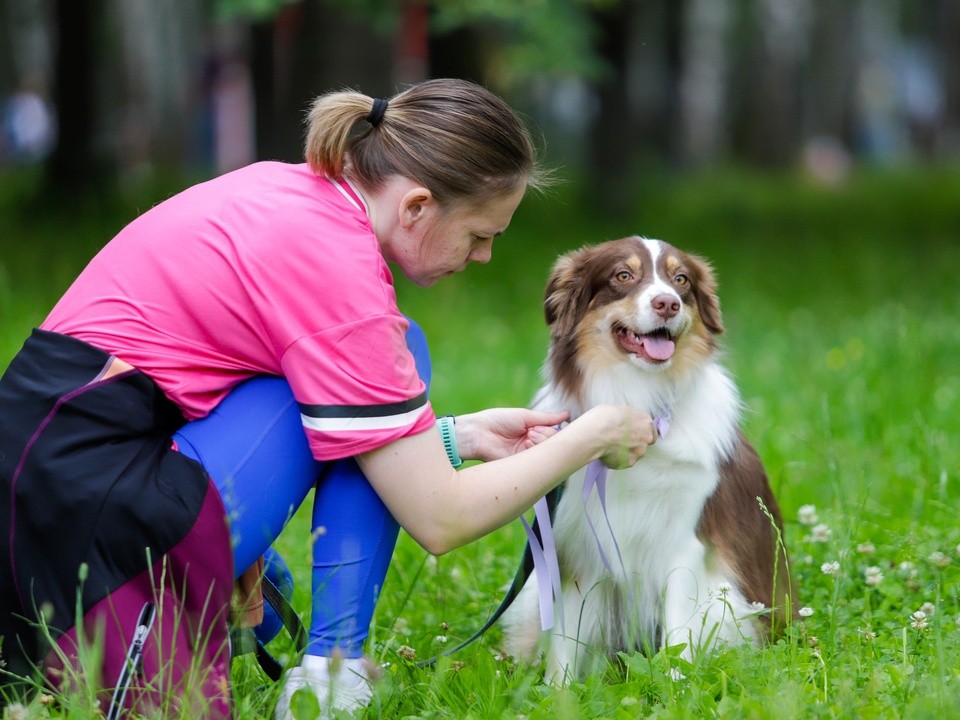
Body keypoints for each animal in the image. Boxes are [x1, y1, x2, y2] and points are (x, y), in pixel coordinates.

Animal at [502, 235, 796, 680]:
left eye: (681, 280)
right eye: (623, 275)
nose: (668, 304)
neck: (638, 398)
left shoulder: (684, 545)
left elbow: (678, 635)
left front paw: (677, 687)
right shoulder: (578, 549)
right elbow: (565, 643)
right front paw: (558, 690)